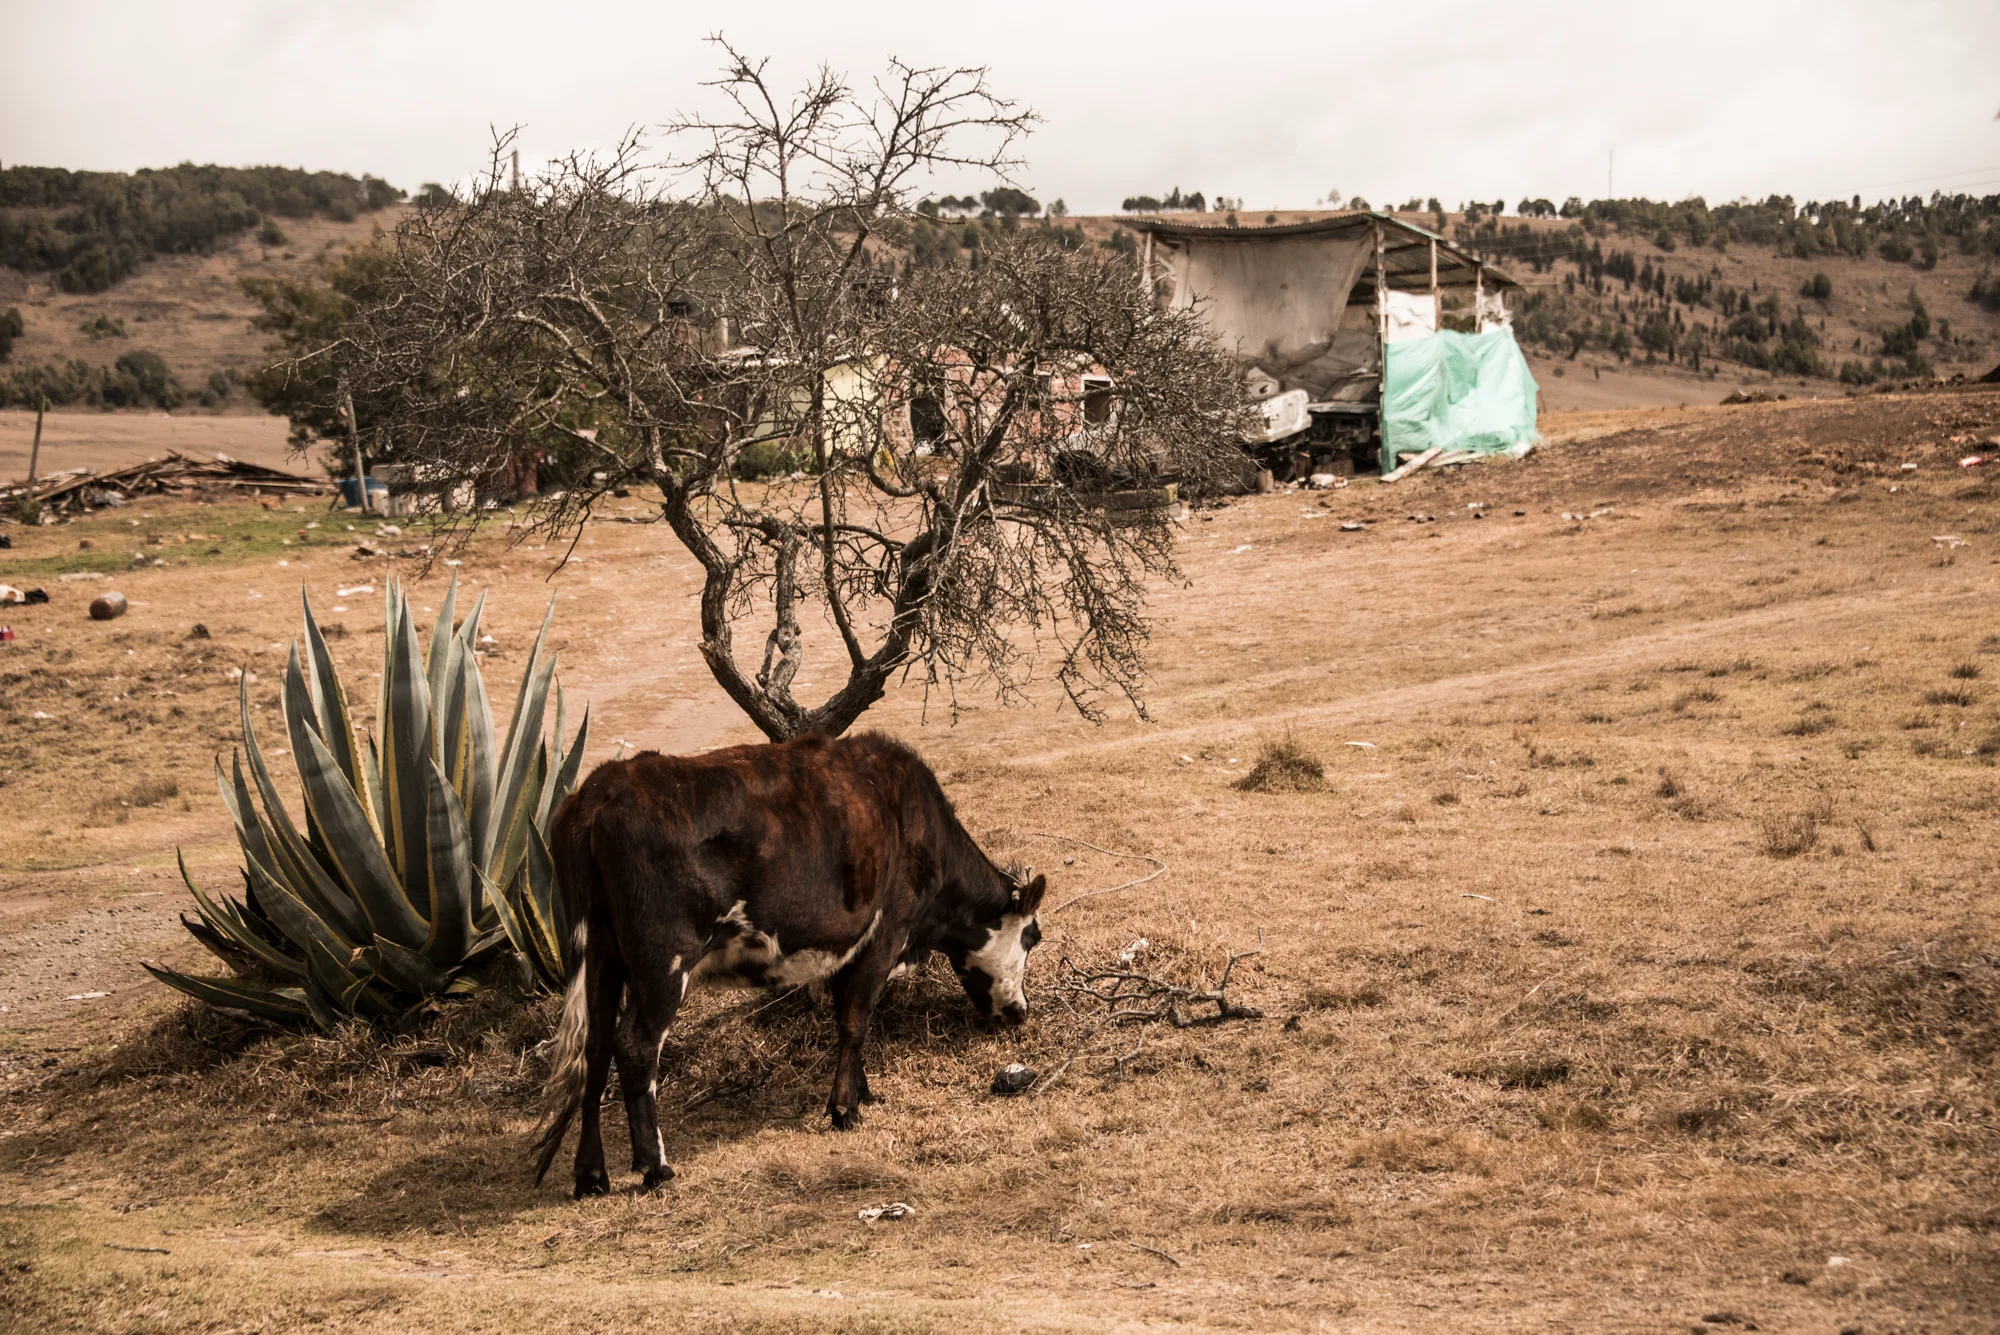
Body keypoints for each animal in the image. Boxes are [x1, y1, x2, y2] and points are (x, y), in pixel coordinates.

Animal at [531, 731, 1049, 1198]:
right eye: (1033, 936)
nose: (1020, 1011)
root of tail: (603, 787)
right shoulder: (887, 933)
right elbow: (856, 1021)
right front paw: (843, 1110)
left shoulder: (847, 946)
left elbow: (847, 1018)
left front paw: (862, 1093)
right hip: (663, 963)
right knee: (634, 1047)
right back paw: (656, 1167)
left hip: (601, 955)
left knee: (595, 1049)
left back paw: (590, 1174)